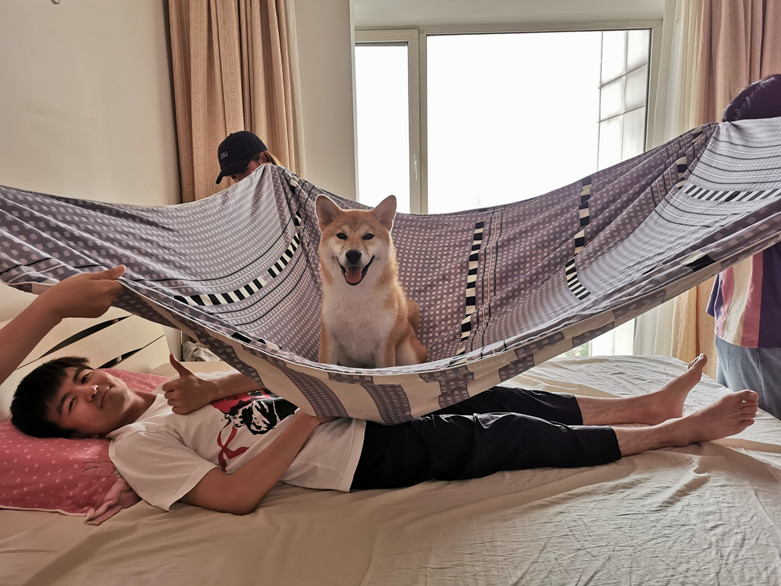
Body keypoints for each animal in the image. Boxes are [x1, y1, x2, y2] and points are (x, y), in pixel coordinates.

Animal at [315, 194, 428, 368]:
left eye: (368, 236)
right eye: (341, 235)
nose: (353, 254)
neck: (355, 295)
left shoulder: (384, 344)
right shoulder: (329, 338)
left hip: (408, 354)